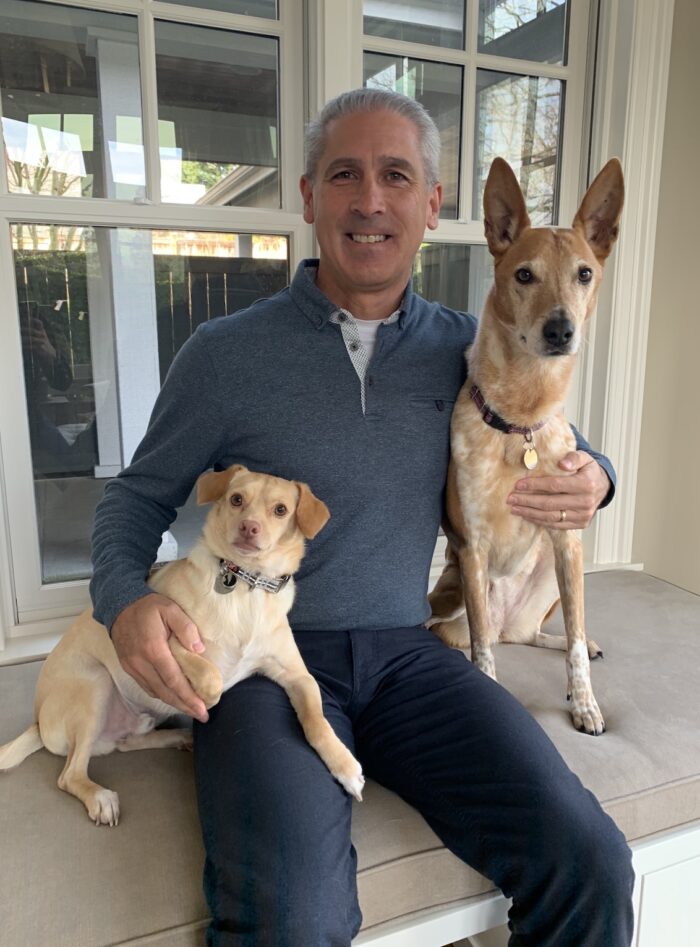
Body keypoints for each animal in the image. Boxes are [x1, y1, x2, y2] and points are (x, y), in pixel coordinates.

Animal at [1, 466, 366, 824]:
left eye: (281, 510)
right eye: (236, 499)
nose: (249, 527)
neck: (247, 587)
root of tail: (38, 722)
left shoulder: (298, 678)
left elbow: (317, 722)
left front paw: (345, 766)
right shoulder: (164, 642)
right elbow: (211, 675)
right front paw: (206, 699)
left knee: (125, 744)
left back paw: (177, 737)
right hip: (96, 684)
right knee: (69, 775)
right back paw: (100, 797)